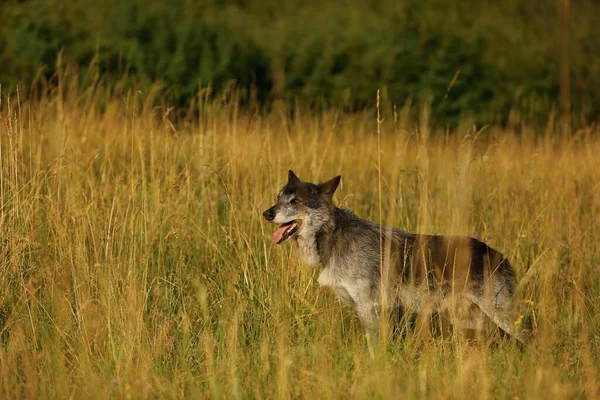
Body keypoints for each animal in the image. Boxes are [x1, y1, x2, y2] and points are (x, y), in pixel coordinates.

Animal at [262, 170, 528, 350]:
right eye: (278, 198)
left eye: (295, 201)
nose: (267, 213)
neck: (334, 236)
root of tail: (500, 255)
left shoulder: (369, 308)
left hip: (502, 317)